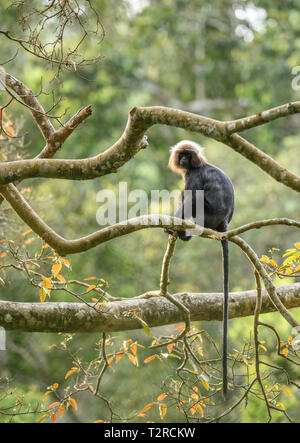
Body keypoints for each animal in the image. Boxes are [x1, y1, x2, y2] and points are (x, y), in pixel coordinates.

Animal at [166, 140, 234, 398]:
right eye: (181, 156)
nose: (184, 160)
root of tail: (223, 223)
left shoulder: (193, 176)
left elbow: (189, 195)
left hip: (209, 215)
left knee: (192, 198)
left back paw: (180, 231)